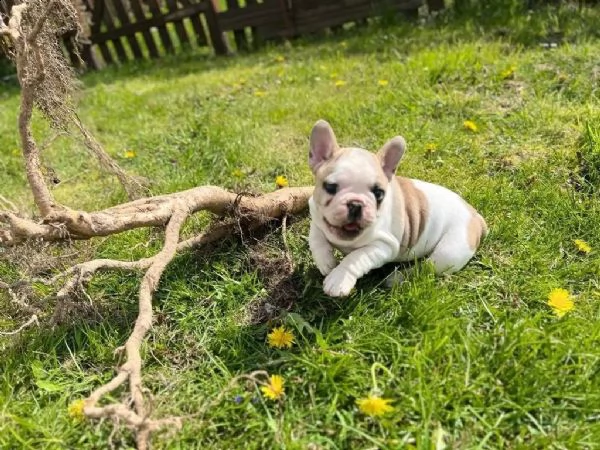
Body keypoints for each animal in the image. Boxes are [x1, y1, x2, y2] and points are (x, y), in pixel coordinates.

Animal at [310, 119, 488, 298]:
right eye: (330, 187)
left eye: (379, 193)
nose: (356, 204)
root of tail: (475, 216)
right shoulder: (315, 214)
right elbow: (316, 236)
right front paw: (326, 261)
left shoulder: (383, 246)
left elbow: (355, 257)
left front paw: (339, 278)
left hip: (449, 252)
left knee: (425, 268)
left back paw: (396, 278)